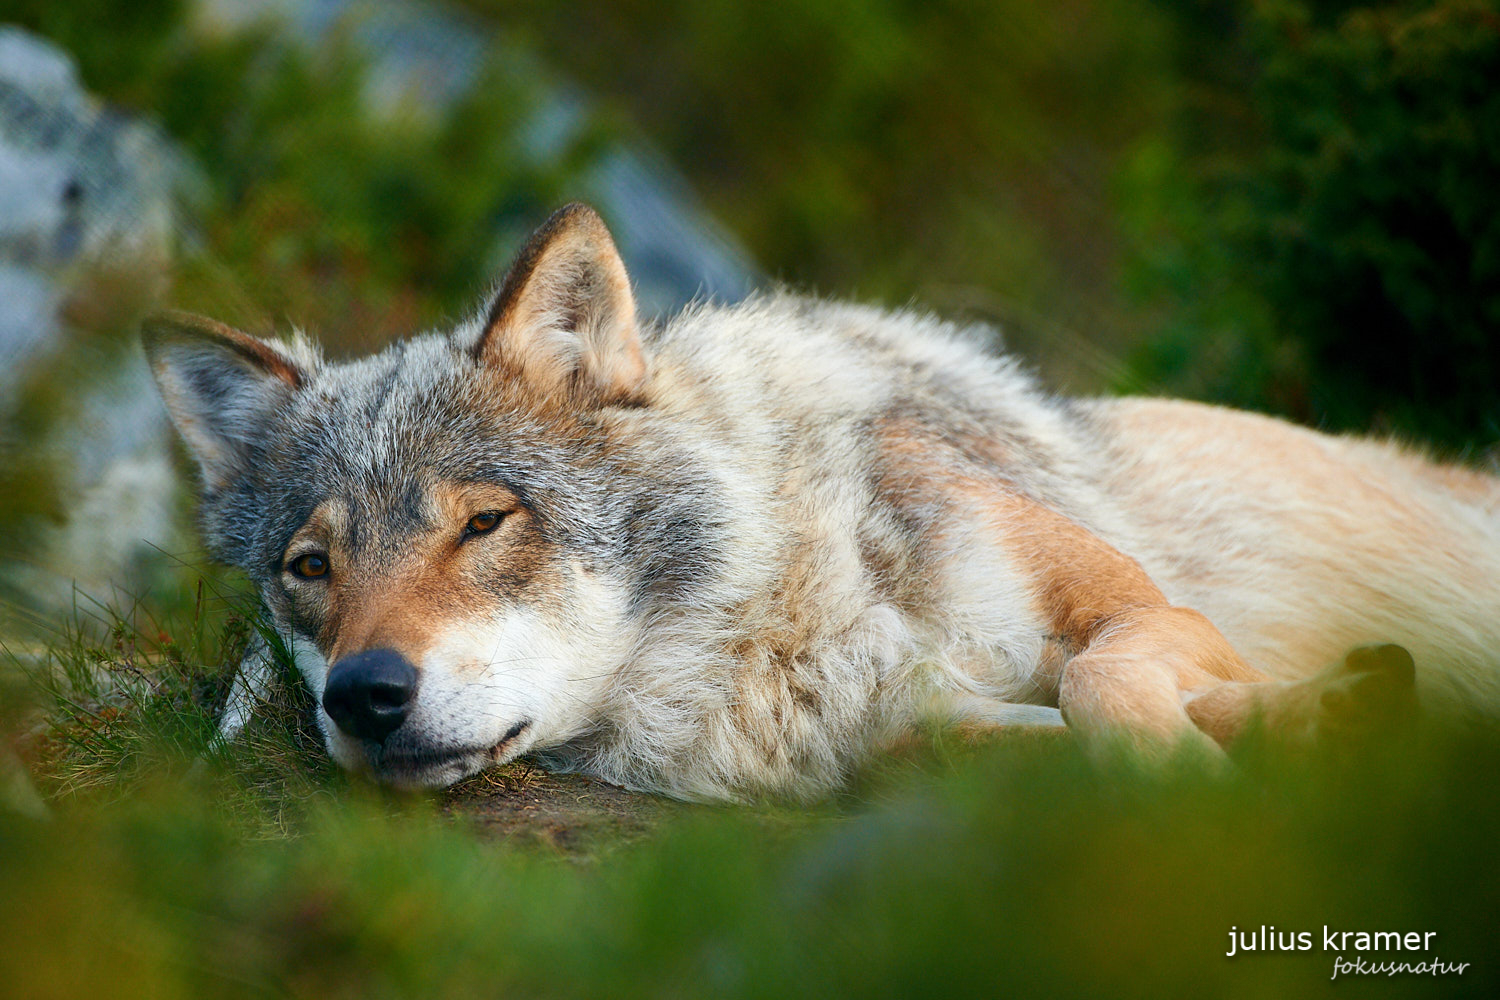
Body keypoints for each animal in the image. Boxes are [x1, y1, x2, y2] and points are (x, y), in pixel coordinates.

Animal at [146, 205, 1500, 803]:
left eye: (483, 524)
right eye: (310, 569)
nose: (363, 697)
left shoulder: (1144, 611)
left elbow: (1101, 678)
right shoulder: (908, 732)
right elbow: (1038, 722)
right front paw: (1322, 717)